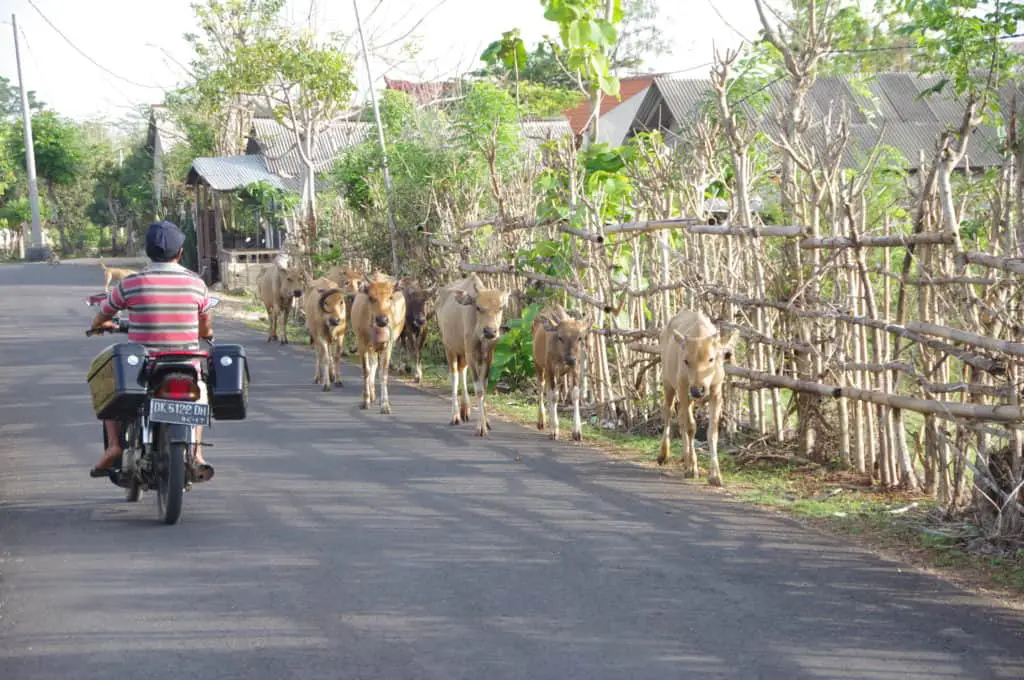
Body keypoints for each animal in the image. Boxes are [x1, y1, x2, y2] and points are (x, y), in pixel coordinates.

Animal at [348, 272, 403, 413]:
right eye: (371, 298)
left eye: (390, 297)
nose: (382, 320)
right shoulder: (362, 344)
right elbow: (366, 370)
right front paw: (365, 401)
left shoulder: (388, 345)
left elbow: (383, 373)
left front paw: (385, 405)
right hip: (370, 347)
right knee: (372, 366)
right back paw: (372, 395)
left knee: (375, 366)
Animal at [434, 274, 509, 438]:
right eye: (479, 307)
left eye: (500, 308)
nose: (490, 331)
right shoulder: (471, 353)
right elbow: (478, 388)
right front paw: (480, 427)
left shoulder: (488, 356)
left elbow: (484, 386)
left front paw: (486, 422)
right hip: (450, 348)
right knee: (455, 376)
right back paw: (455, 415)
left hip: (463, 353)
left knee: (462, 371)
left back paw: (465, 410)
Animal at [528, 305, 593, 444]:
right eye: (560, 337)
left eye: (579, 337)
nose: (571, 359)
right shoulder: (550, 369)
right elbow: (552, 396)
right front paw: (554, 430)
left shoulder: (575, 368)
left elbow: (574, 395)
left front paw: (577, 432)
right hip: (538, 364)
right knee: (541, 389)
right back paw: (541, 421)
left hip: (561, 374)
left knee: (555, 392)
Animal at [659, 307, 741, 483]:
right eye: (686, 361)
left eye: (711, 359)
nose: (698, 390)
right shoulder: (684, 390)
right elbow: (691, 428)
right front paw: (693, 469)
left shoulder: (716, 395)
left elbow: (712, 432)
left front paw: (715, 475)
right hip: (668, 384)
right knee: (669, 412)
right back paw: (664, 455)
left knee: (680, 419)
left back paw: (685, 459)